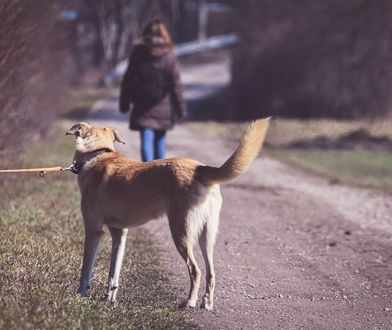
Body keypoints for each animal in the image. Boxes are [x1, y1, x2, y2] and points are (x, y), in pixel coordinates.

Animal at [66, 118, 270, 310]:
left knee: (196, 270)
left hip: (181, 231)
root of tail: (199, 168)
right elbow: (113, 273)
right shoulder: (120, 234)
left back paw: (190, 302)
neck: (98, 154)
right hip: (206, 236)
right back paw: (207, 303)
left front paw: (80, 295)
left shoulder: (93, 230)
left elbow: (86, 269)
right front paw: (110, 298)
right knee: (211, 273)